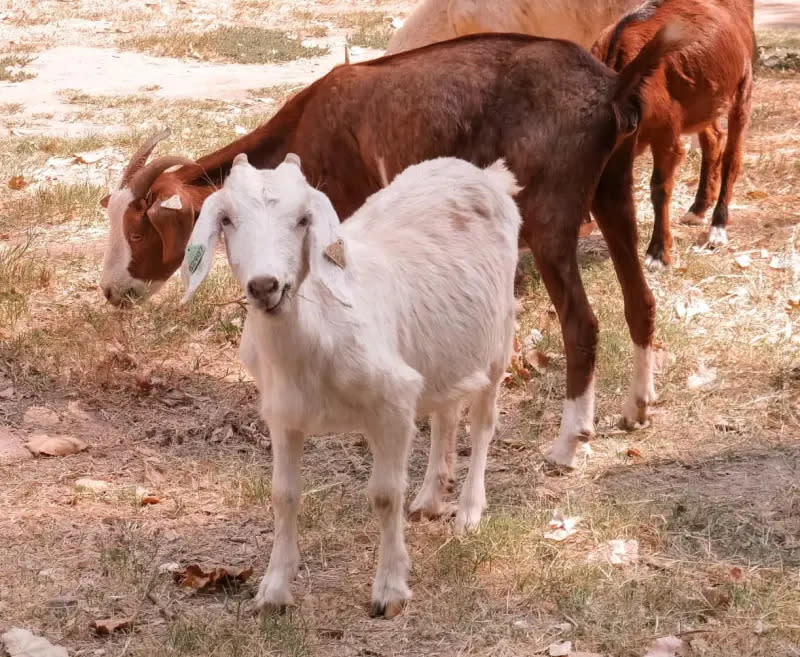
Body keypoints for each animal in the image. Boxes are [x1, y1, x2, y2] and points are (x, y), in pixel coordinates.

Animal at [101, 32, 680, 472]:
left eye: (138, 233)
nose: (111, 290)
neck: (309, 123)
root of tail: (609, 89)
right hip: (614, 191)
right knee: (641, 300)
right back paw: (637, 408)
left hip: (550, 217)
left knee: (582, 323)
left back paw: (567, 444)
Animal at [180, 152, 520, 616]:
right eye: (227, 219)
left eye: (303, 219)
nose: (265, 285)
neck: (320, 324)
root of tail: (486, 175)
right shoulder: (283, 414)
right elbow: (283, 495)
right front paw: (273, 590)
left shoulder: (392, 403)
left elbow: (385, 494)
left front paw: (390, 590)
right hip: (444, 352)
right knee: (445, 413)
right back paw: (430, 499)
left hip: (498, 340)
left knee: (483, 422)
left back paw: (468, 511)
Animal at [592, 0, 756, 270]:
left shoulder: (666, 131)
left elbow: (659, 188)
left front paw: (657, 253)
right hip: (703, 100)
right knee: (713, 138)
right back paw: (697, 209)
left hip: (743, 84)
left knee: (732, 156)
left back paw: (718, 227)